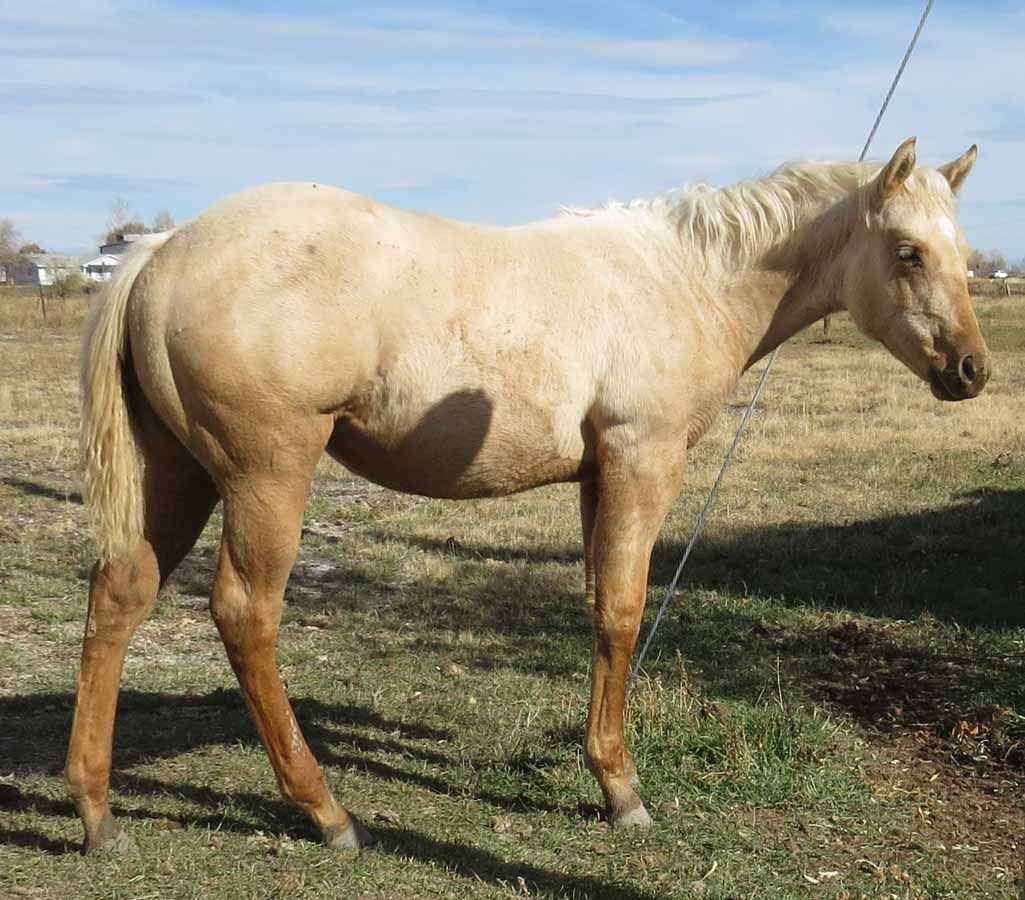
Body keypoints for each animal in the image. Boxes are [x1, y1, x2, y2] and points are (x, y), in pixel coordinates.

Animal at [68, 137, 988, 852]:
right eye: (908, 251)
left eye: (961, 251)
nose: (971, 369)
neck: (684, 278)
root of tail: (163, 247)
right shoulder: (641, 463)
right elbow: (622, 611)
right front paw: (620, 790)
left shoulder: (597, 478)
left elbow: (595, 607)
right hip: (268, 474)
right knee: (245, 614)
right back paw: (326, 812)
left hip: (178, 474)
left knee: (121, 593)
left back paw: (97, 812)